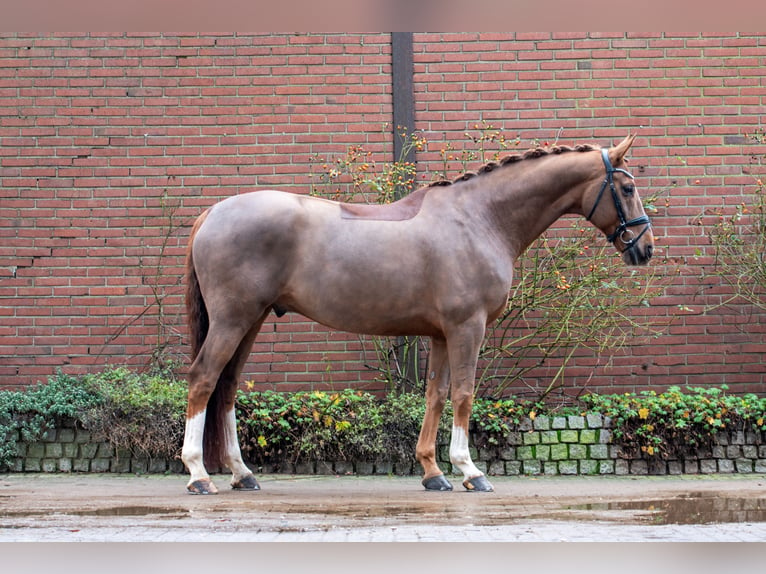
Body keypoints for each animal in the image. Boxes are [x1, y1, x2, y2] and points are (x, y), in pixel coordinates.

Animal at [180, 134, 656, 496]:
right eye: (627, 189)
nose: (645, 249)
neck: (479, 219)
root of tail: (212, 212)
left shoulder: (442, 334)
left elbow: (436, 395)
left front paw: (433, 472)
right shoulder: (467, 327)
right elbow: (463, 393)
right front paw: (470, 471)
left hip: (253, 319)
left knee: (227, 386)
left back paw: (242, 474)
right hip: (233, 319)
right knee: (203, 379)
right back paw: (199, 475)